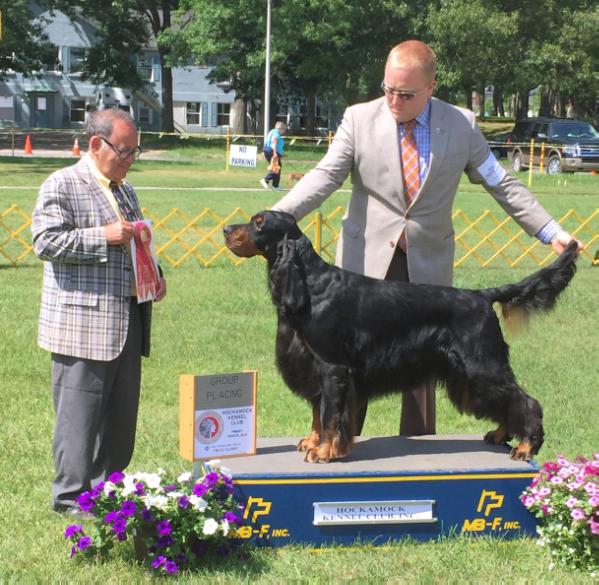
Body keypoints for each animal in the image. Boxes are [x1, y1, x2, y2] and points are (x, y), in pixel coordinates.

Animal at [223, 209, 580, 460]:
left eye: (259, 222)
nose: (226, 229)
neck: (310, 283)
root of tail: (482, 295)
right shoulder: (313, 367)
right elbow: (317, 412)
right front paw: (311, 442)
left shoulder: (333, 367)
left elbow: (330, 414)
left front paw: (324, 451)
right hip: (470, 373)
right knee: (509, 401)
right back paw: (500, 433)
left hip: (481, 365)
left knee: (524, 400)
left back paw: (526, 445)